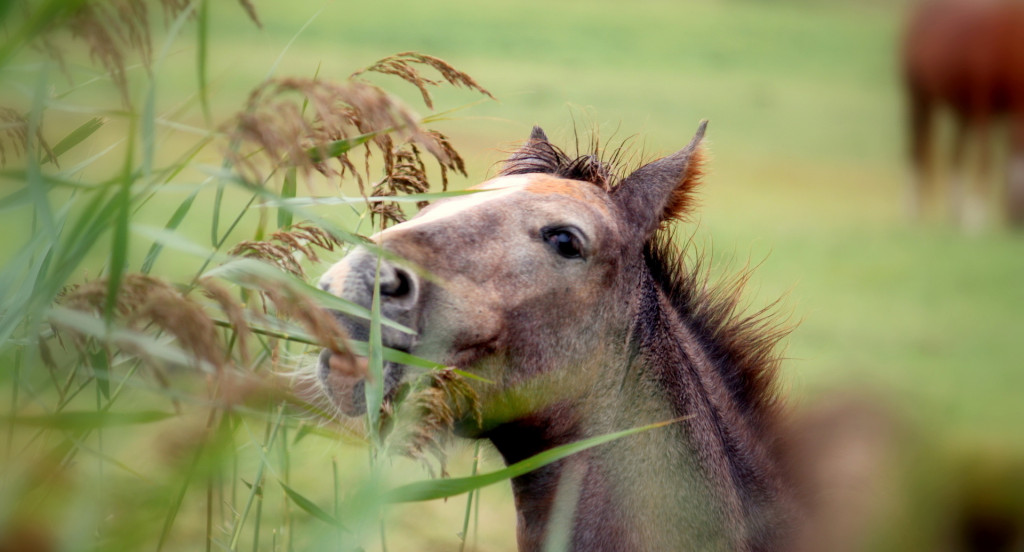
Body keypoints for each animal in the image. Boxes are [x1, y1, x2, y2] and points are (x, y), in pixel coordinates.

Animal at [901, 0, 1024, 229]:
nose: (1015, 222)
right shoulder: (983, 103)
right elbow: (986, 158)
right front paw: (975, 217)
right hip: (919, 98)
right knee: (917, 148)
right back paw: (913, 211)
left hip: (960, 111)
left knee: (955, 154)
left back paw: (954, 212)